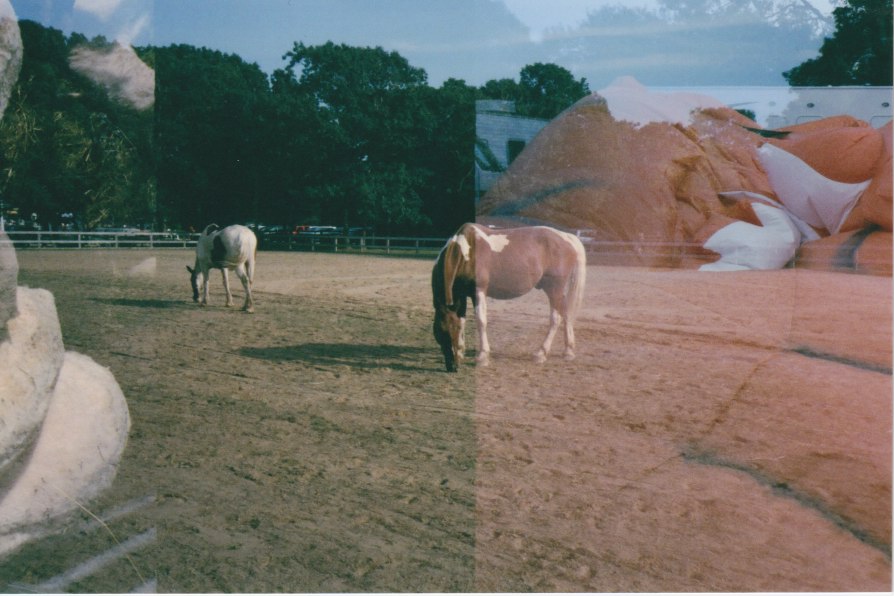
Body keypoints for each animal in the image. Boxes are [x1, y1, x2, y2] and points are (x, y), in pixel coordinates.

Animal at [434, 224, 588, 372]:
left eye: (451, 329)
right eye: (440, 332)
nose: (452, 367)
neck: (466, 252)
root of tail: (567, 237)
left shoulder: (479, 291)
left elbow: (481, 320)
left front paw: (483, 357)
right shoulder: (464, 294)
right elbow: (463, 319)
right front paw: (462, 353)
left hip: (554, 289)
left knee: (556, 319)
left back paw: (541, 353)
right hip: (556, 291)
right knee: (566, 313)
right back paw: (568, 351)